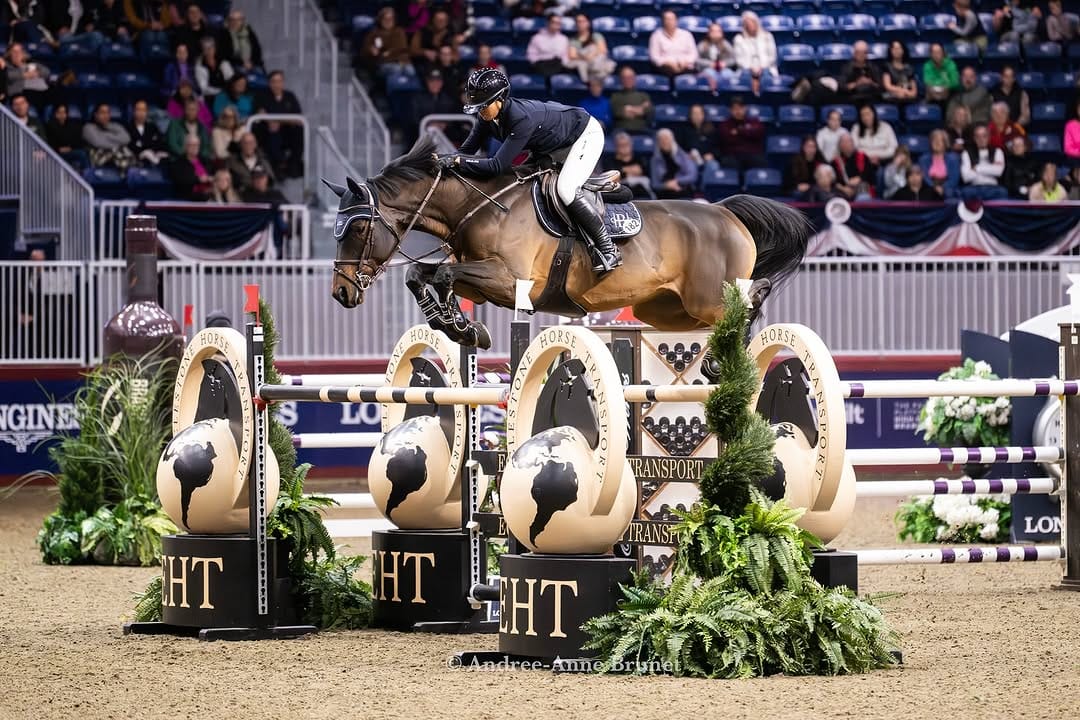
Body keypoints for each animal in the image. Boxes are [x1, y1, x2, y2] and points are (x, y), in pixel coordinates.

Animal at [326, 135, 811, 348]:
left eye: (358, 229)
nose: (341, 293)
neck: (481, 205)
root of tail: (727, 212)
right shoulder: (479, 282)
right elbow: (421, 274)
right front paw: (459, 327)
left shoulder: (512, 282)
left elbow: (441, 273)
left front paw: (461, 327)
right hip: (668, 310)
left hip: (707, 298)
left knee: (750, 298)